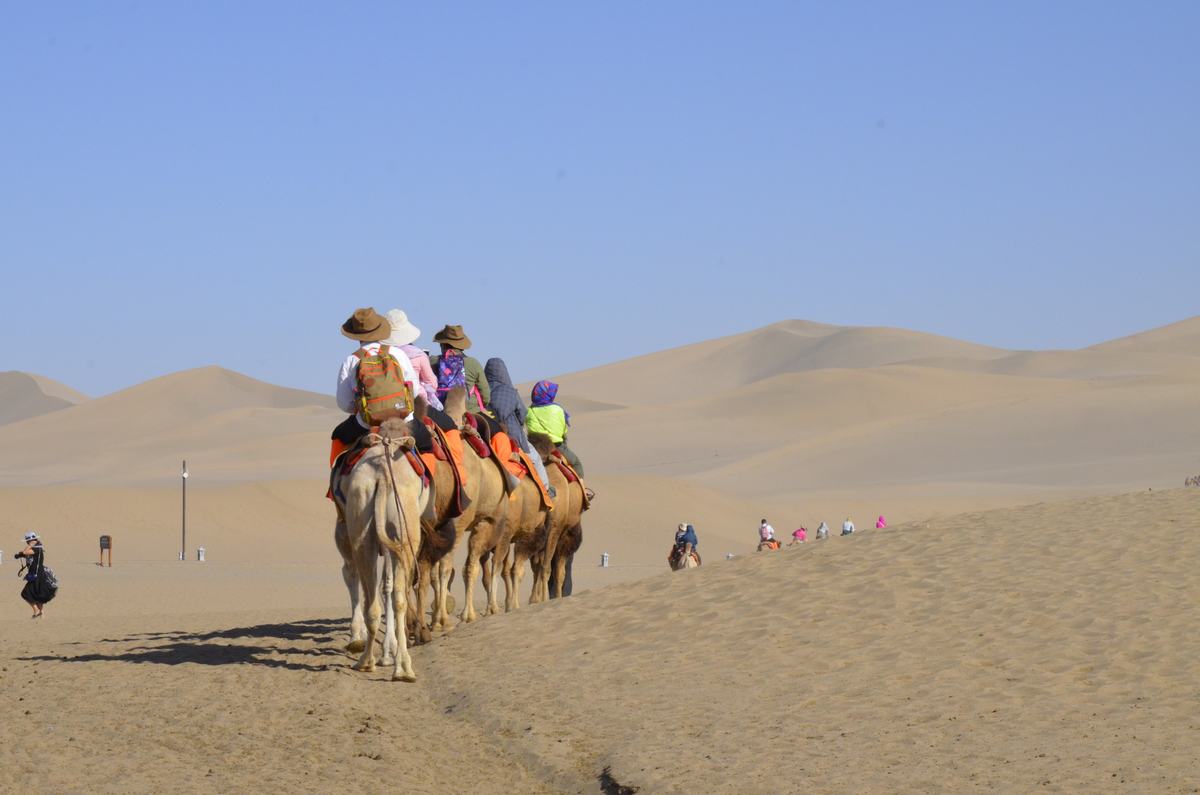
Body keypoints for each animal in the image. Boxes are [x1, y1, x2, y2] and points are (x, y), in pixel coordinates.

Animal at [331, 417, 429, 686]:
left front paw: (360, 640)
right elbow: (389, 586)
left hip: (362, 527)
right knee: (397, 596)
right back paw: (403, 667)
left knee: (368, 593)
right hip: (403, 530)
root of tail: (384, 475)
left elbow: (361, 580)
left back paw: (367, 660)